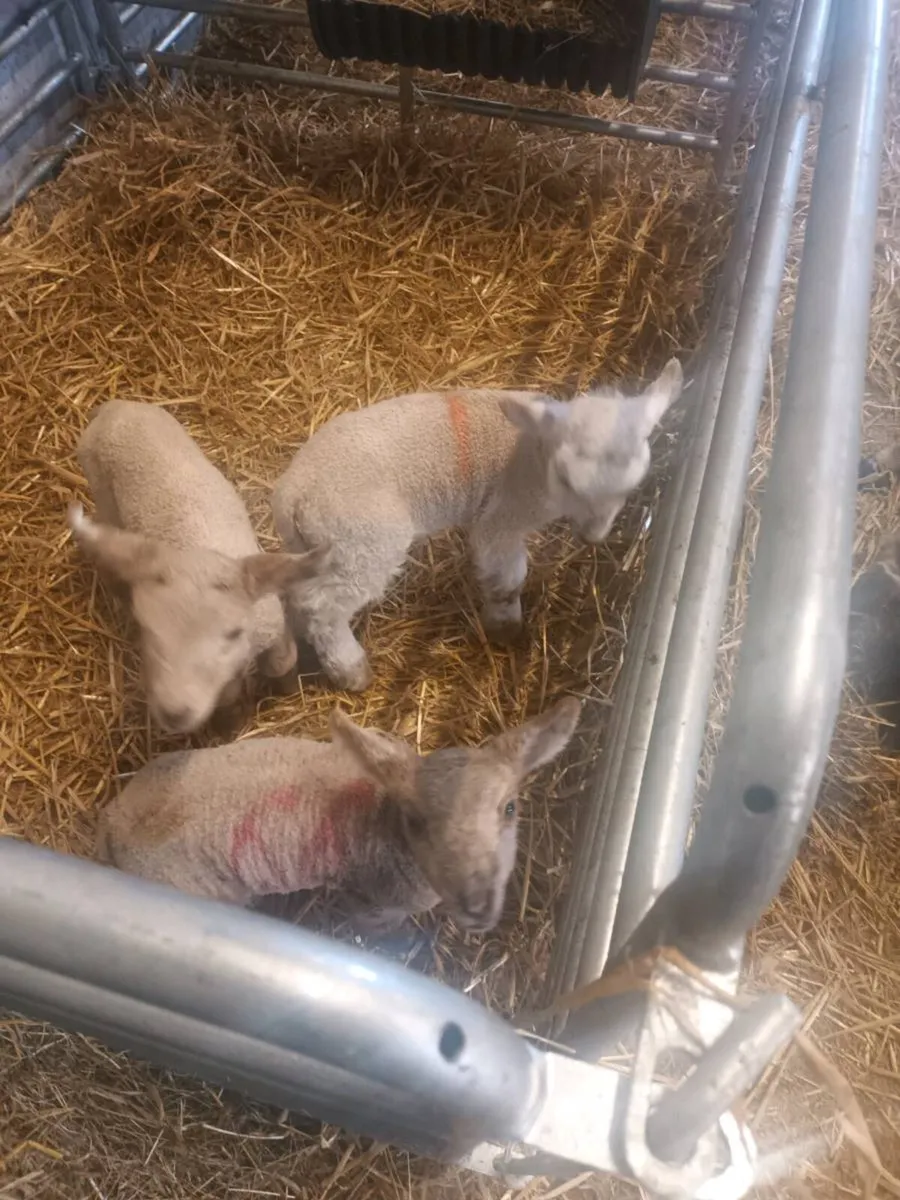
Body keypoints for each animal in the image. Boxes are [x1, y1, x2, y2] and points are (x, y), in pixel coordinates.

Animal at [68, 399, 327, 734]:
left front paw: (289, 690)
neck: (198, 549)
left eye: (232, 632)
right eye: (147, 629)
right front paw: (231, 724)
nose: (173, 713)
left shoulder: (270, 618)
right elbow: (228, 695)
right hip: (100, 486)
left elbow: (281, 661)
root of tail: (114, 407)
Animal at [96, 696, 582, 933]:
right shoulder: (389, 899)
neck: (382, 821)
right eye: (416, 822)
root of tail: (116, 818)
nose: (477, 906)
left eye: (510, 808)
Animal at [271, 359, 683, 691]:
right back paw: (351, 672)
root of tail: (293, 494)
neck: (532, 455)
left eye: (633, 484)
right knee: (323, 607)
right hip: (363, 540)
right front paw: (506, 627)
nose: (592, 537)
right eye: (566, 478)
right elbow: (507, 576)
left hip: (322, 546)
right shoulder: (503, 517)